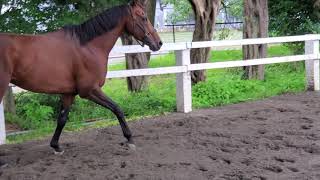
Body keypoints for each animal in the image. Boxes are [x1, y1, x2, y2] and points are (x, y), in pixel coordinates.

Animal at [0, 0, 162, 155]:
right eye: (143, 17)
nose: (159, 43)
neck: (88, 46)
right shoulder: (89, 90)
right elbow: (117, 108)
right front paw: (129, 139)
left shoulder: (69, 93)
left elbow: (62, 119)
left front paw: (56, 146)